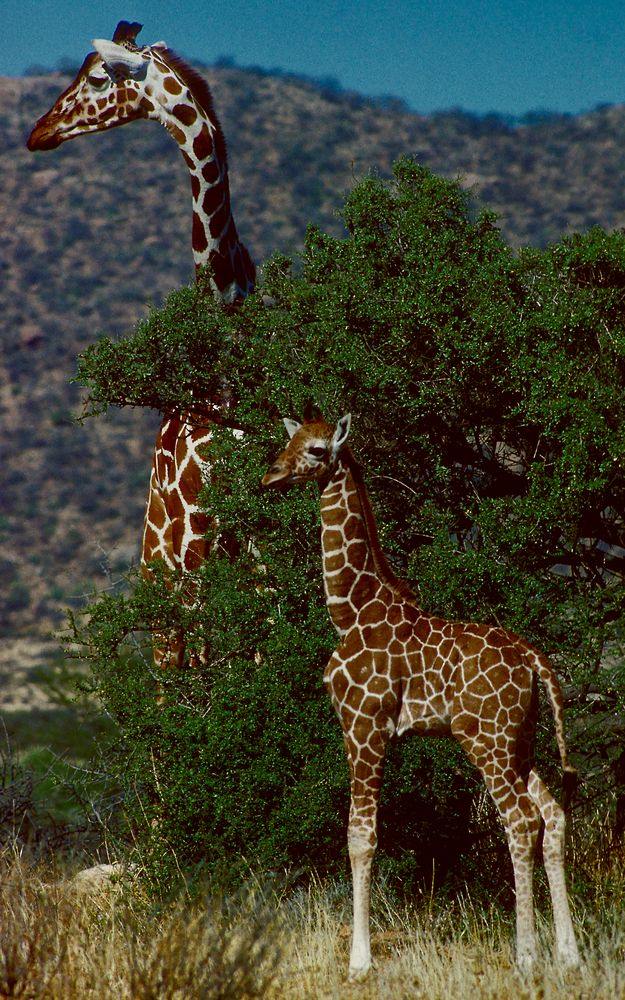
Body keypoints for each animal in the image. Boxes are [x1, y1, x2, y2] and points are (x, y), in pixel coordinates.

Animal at [260, 410, 576, 980]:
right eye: (290, 441)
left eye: (316, 450)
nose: (270, 475)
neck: (350, 612)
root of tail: (534, 662)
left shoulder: (364, 727)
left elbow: (361, 837)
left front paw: (359, 962)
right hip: (518, 741)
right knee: (553, 815)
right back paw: (568, 954)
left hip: (486, 740)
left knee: (521, 821)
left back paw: (525, 957)